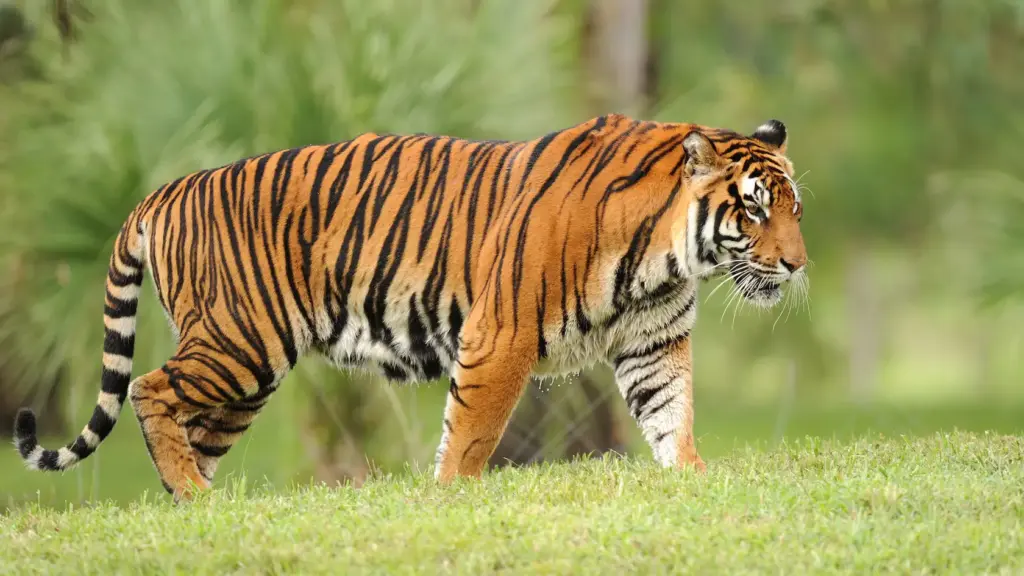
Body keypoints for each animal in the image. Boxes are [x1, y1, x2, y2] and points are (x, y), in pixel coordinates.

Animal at [13, 113, 807, 501]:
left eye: (795, 209)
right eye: (755, 209)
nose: (798, 265)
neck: (666, 254)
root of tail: (165, 189)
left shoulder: (653, 345)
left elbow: (672, 417)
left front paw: (692, 480)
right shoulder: (500, 335)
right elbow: (472, 434)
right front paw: (450, 496)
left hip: (245, 375)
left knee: (187, 428)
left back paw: (196, 506)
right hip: (238, 341)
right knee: (149, 389)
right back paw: (192, 497)